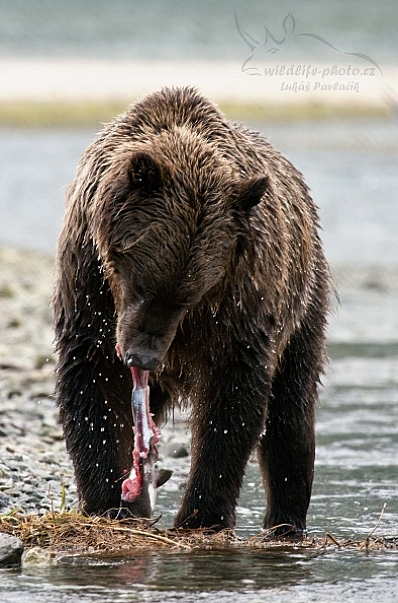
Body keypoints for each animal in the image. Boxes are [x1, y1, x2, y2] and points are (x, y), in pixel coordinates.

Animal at [54, 86, 332, 536]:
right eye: (142, 283)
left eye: (189, 294)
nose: (143, 357)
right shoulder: (88, 282)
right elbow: (93, 379)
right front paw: (106, 502)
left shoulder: (241, 295)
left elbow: (233, 399)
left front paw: (202, 515)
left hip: (304, 300)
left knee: (290, 411)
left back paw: (286, 521)